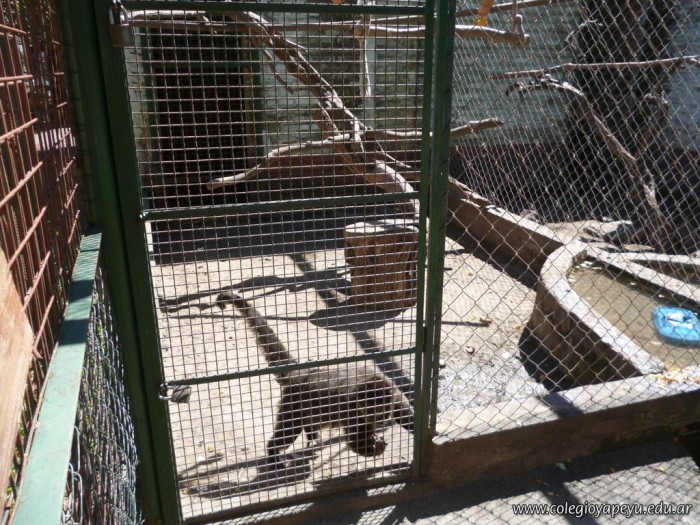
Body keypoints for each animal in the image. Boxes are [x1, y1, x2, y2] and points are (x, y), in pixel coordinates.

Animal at [216, 291, 414, 467]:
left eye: (381, 413)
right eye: (373, 411)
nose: (379, 420)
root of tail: (302, 374)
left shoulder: (391, 389)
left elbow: (404, 415)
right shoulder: (352, 408)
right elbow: (354, 441)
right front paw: (375, 447)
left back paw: (310, 434)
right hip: (292, 402)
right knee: (290, 429)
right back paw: (273, 454)